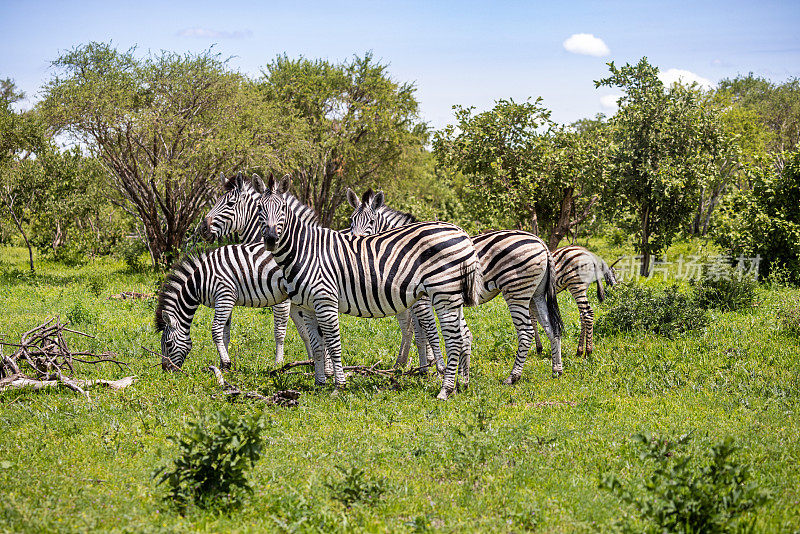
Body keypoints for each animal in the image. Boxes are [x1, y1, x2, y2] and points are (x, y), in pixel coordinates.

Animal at [156, 244, 294, 372]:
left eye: (168, 344)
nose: (166, 371)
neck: (199, 282)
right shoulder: (226, 299)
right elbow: (225, 334)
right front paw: (223, 366)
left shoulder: (224, 295)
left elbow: (216, 330)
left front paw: (226, 363)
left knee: (279, 331)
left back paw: (278, 364)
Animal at [202, 174, 444, 374]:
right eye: (216, 200)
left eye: (229, 203)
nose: (203, 227)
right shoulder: (298, 298)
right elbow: (304, 331)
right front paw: (314, 361)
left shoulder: (286, 299)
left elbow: (280, 329)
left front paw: (280, 363)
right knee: (410, 325)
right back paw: (406, 363)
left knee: (418, 324)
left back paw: (424, 364)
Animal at [260, 176, 482, 402]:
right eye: (260, 208)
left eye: (283, 208)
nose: (270, 239)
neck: (305, 250)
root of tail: (461, 232)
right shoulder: (308, 306)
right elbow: (318, 345)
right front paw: (319, 384)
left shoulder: (326, 300)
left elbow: (334, 343)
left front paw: (339, 386)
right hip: (452, 295)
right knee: (463, 335)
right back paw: (460, 383)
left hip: (443, 293)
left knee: (453, 339)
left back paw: (445, 389)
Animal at [348, 189, 564, 386]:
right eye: (351, 221)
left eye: (371, 222)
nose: (355, 242)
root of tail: (541, 243)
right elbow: (420, 334)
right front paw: (426, 368)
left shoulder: (422, 299)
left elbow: (425, 333)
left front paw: (432, 369)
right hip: (536, 293)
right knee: (550, 327)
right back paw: (556, 370)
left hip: (516, 291)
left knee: (526, 332)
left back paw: (513, 377)